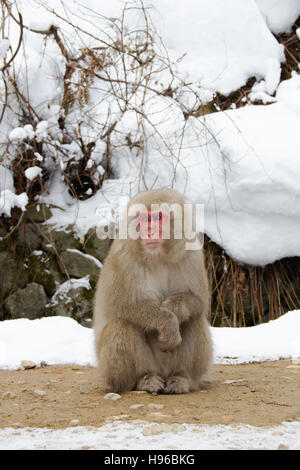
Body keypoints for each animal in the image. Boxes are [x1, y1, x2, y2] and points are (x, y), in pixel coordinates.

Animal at [92, 187, 212, 392]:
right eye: (144, 218)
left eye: (158, 217)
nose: (148, 231)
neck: (158, 257)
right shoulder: (123, 258)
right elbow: (122, 306)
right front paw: (168, 321)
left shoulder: (192, 254)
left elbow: (199, 301)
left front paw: (175, 308)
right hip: (115, 370)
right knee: (121, 325)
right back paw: (143, 380)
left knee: (195, 319)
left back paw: (181, 377)